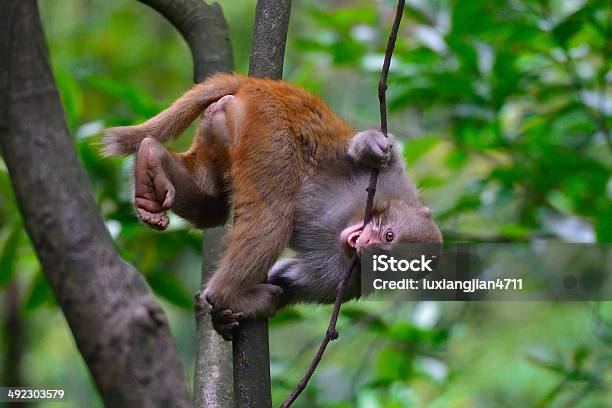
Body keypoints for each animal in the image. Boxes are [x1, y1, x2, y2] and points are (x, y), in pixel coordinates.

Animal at [103, 74, 442, 342]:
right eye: (388, 236)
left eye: (388, 261)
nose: (365, 244)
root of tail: (261, 85)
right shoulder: (394, 183)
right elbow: (366, 154)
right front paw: (372, 146)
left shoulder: (339, 284)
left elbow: (288, 281)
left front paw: (223, 319)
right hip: (268, 127)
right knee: (274, 211)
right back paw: (226, 295)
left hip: (223, 126)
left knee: (211, 207)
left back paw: (151, 163)